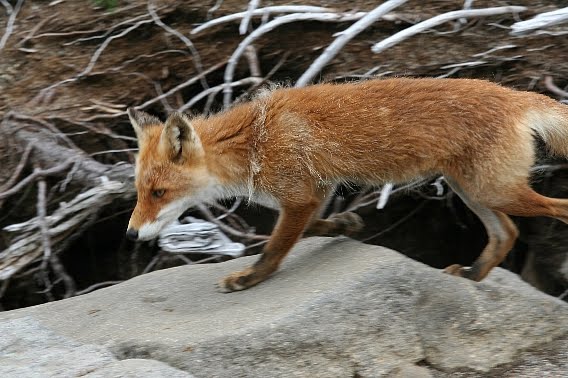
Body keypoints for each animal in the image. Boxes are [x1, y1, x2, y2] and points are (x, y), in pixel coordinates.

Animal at [126, 78, 568, 292]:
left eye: (159, 193)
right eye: (140, 192)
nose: (130, 234)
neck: (253, 140)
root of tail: (517, 96)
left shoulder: (300, 197)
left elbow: (273, 248)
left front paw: (249, 279)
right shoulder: (314, 192)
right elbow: (312, 227)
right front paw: (346, 225)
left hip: (494, 190)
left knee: (554, 210)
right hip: (471, 189)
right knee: (506, 233)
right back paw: (473, 276)